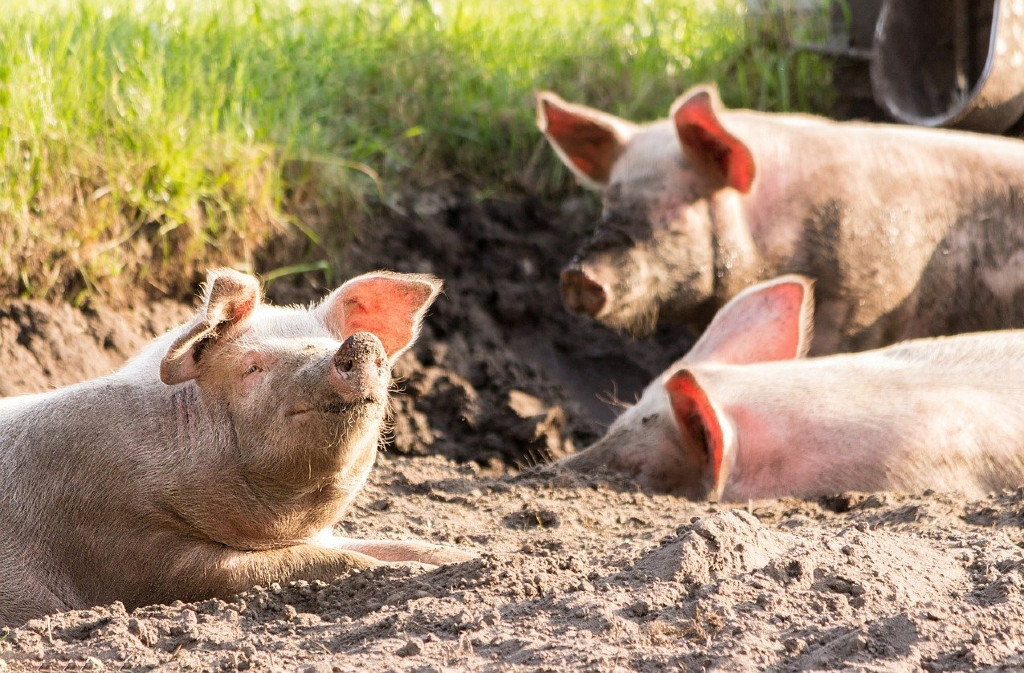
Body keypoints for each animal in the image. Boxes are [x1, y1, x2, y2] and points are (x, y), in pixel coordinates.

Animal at [0, 269, 473, 627]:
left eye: (327, 344)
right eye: (252, 367)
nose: (360, 342)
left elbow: (394, 545)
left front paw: (470, 558)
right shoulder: (125, 546)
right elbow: (315, 562)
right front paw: (413, 572)